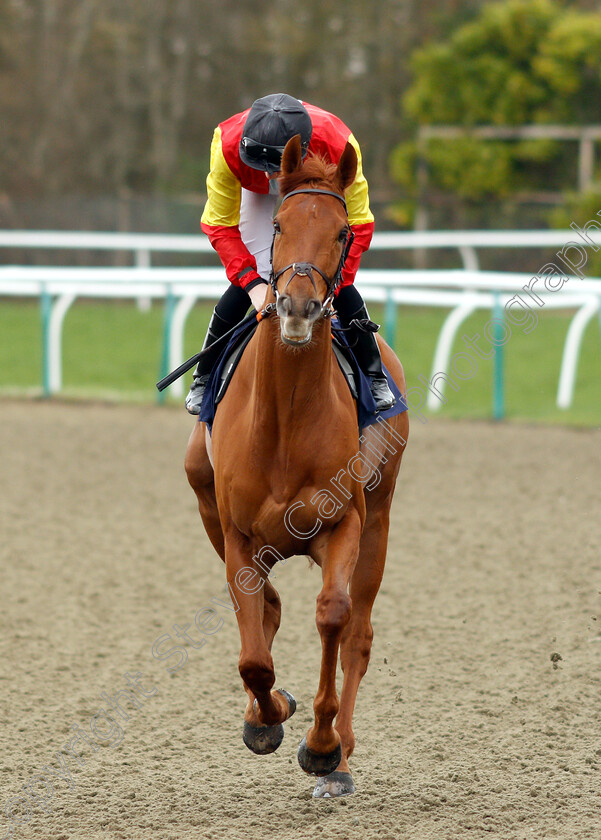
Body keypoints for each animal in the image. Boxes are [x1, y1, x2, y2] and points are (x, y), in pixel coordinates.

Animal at [184, 135, 408, 796]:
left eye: (341, 233)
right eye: (280, 225)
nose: (299, 306)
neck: (284, 423)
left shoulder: (345, 524)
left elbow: (334, 617)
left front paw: (323, 745)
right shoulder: (237, 533)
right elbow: (254, 655)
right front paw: (266, 718)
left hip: (381, 518)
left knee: (358, 632)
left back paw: (342, 759)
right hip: (204, 496)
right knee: (265, 608)